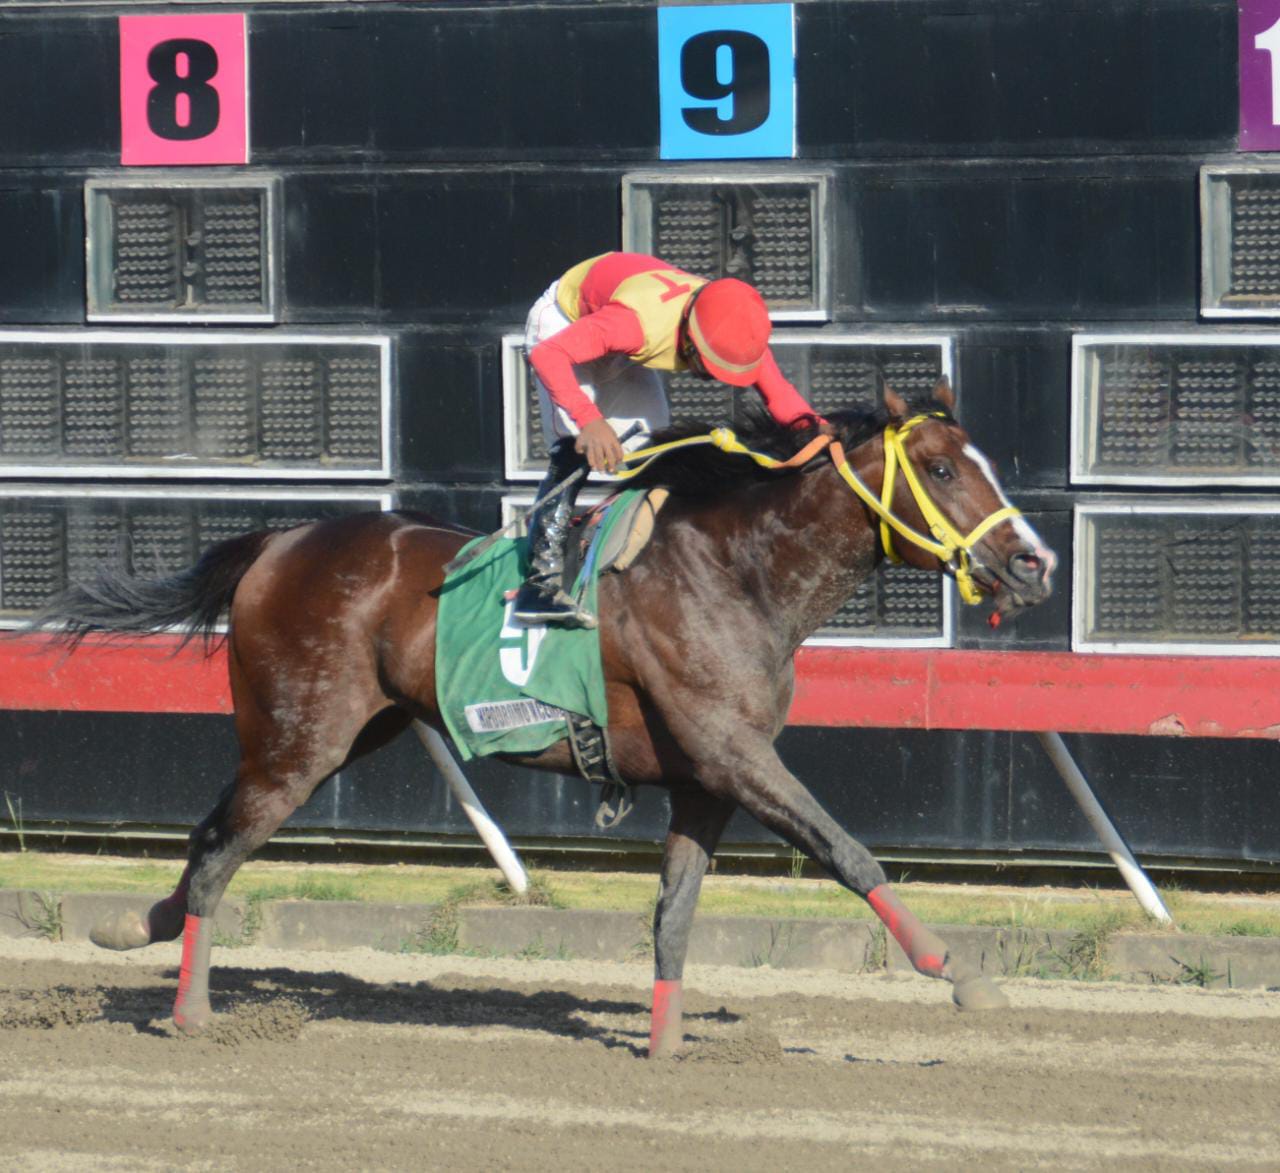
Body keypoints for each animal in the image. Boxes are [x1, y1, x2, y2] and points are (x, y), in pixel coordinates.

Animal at [31, 380, 1054, 1057]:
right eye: (937, 467)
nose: (1033, 562)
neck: (738, 572)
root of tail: (280, 541)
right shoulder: (733, 752)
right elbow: (848, 850)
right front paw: (958, 969)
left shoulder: (708, 779)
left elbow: (674, 912)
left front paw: (666, 1044)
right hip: (301, 740)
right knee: (219, 853)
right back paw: (191, 1013)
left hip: (332, 733)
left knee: (208, 833)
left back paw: (138, 927)